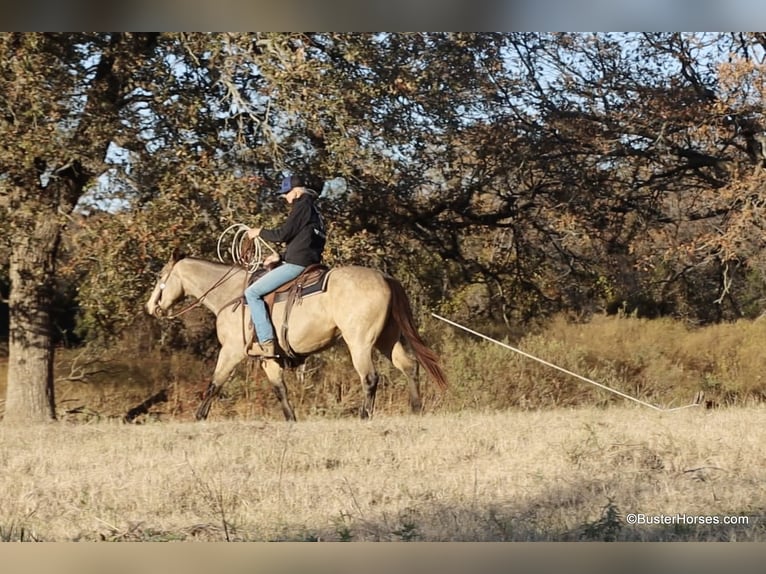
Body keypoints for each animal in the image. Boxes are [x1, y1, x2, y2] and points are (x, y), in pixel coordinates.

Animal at [144, 250, 447, 421]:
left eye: (160, 275)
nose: (151, 307)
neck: (232, 295)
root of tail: (385, 277)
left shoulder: (230, 351)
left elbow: (214, 383)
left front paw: (199, 416)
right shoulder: (268, 359)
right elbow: (280, 389)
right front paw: (291, 419)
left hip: (360, 342)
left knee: (370, 378)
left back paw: (365, 415)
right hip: (387, 338)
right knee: (409, 366)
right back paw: (416, 409)